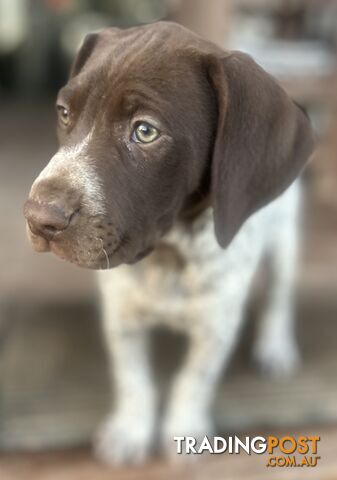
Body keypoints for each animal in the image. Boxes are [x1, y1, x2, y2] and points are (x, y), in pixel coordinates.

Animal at [24, 22, 316, 464]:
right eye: (64, 113)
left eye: (145, 131)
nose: (39, 218)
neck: (168, 254)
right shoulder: (120, 314)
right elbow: (132, 378)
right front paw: (131, 429)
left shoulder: (217, 323)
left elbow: (194, 379)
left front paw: (184, 429)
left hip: (284, 233)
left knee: (280, 294)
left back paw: (276, 346)